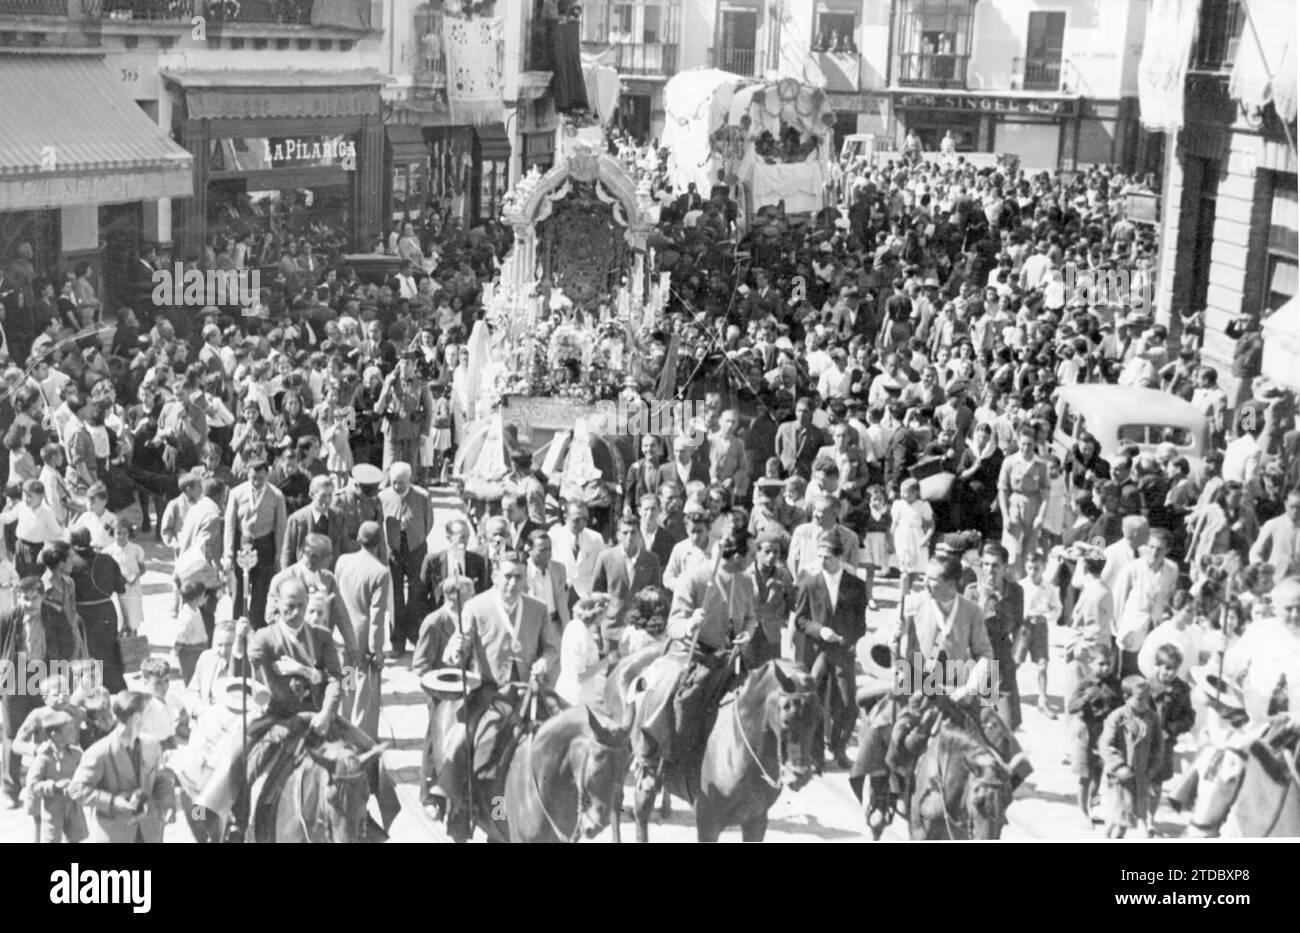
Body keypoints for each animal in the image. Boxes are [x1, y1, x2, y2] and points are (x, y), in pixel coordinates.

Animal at [624, 657, 816, 847]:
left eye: (818, 716)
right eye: (785, 717)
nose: (799, 776)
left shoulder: (756, 820)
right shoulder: (708, 823)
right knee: (640, 813)